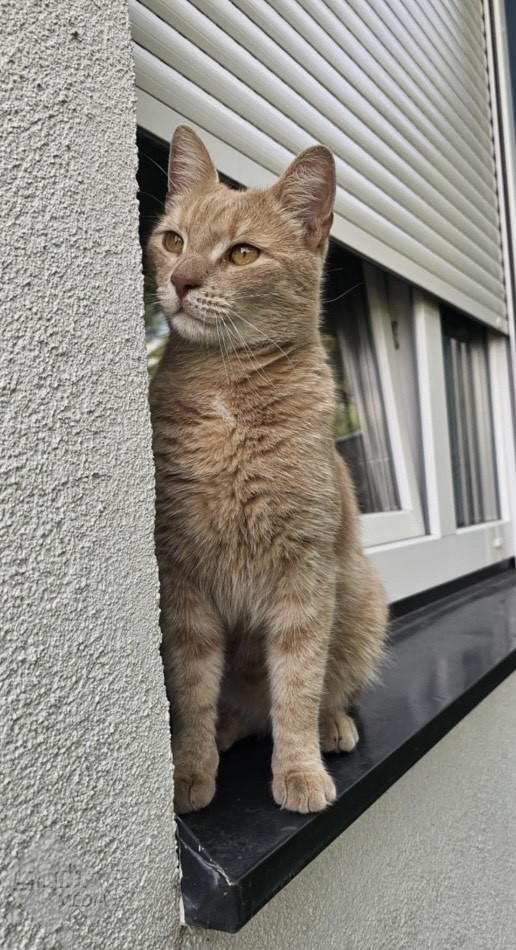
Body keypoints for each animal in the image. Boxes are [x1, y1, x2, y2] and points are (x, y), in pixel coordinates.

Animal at [148, 126, 388, 815]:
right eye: (173, 241)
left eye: (243, 254)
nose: (182, 280)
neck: (227, 399)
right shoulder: (183, 582)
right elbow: (192, 690)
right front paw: (189, 770)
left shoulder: (303, 580)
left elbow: (299, 687)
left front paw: (300, 770)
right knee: (237, 711)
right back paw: (229, 730)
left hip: (362, 597)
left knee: (325, 692)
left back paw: (332, 727)